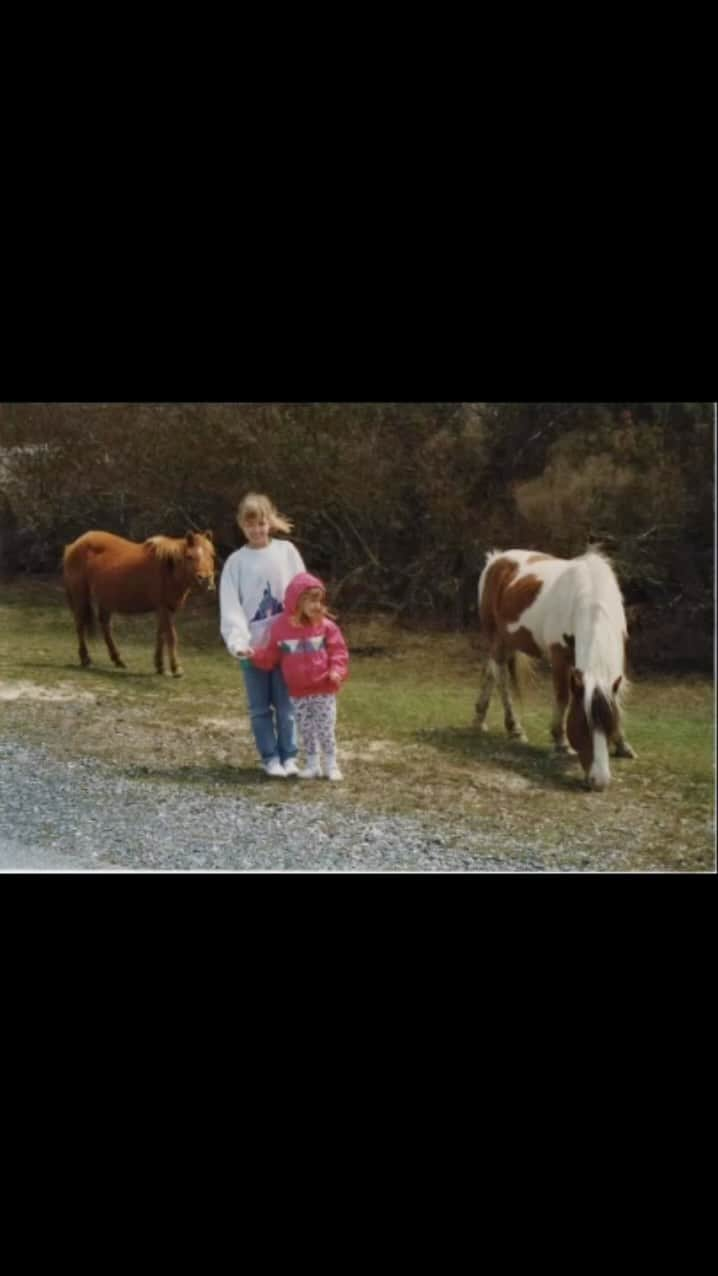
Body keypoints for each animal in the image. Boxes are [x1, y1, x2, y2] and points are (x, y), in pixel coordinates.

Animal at [63, 530, 216, 678]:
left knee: (105, 626)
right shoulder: (164, 608)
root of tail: (73, 545)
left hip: (106, 600)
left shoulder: (165, 609)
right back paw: (85, 659)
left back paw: (117, 659)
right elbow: (171, 636)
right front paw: (176, 669)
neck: (168, 569)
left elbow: (161, 635)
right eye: (189, 556)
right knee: (80, 625)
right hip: (80, 596)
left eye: (211, 555)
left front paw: (160, 665)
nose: (205, 579)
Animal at [476, 548, 635, 786]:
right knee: (501, 676)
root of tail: (497, 558)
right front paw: (561, 741)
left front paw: (623, 745)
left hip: (506, 641)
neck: (591, 598)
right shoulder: (560, 656)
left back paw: (480, 719)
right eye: (582, 725)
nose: (599, 781)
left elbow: (617, 701)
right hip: (495, 636)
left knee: (491, 671)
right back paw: (514, 728)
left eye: (610, 724)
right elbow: (562, 697)